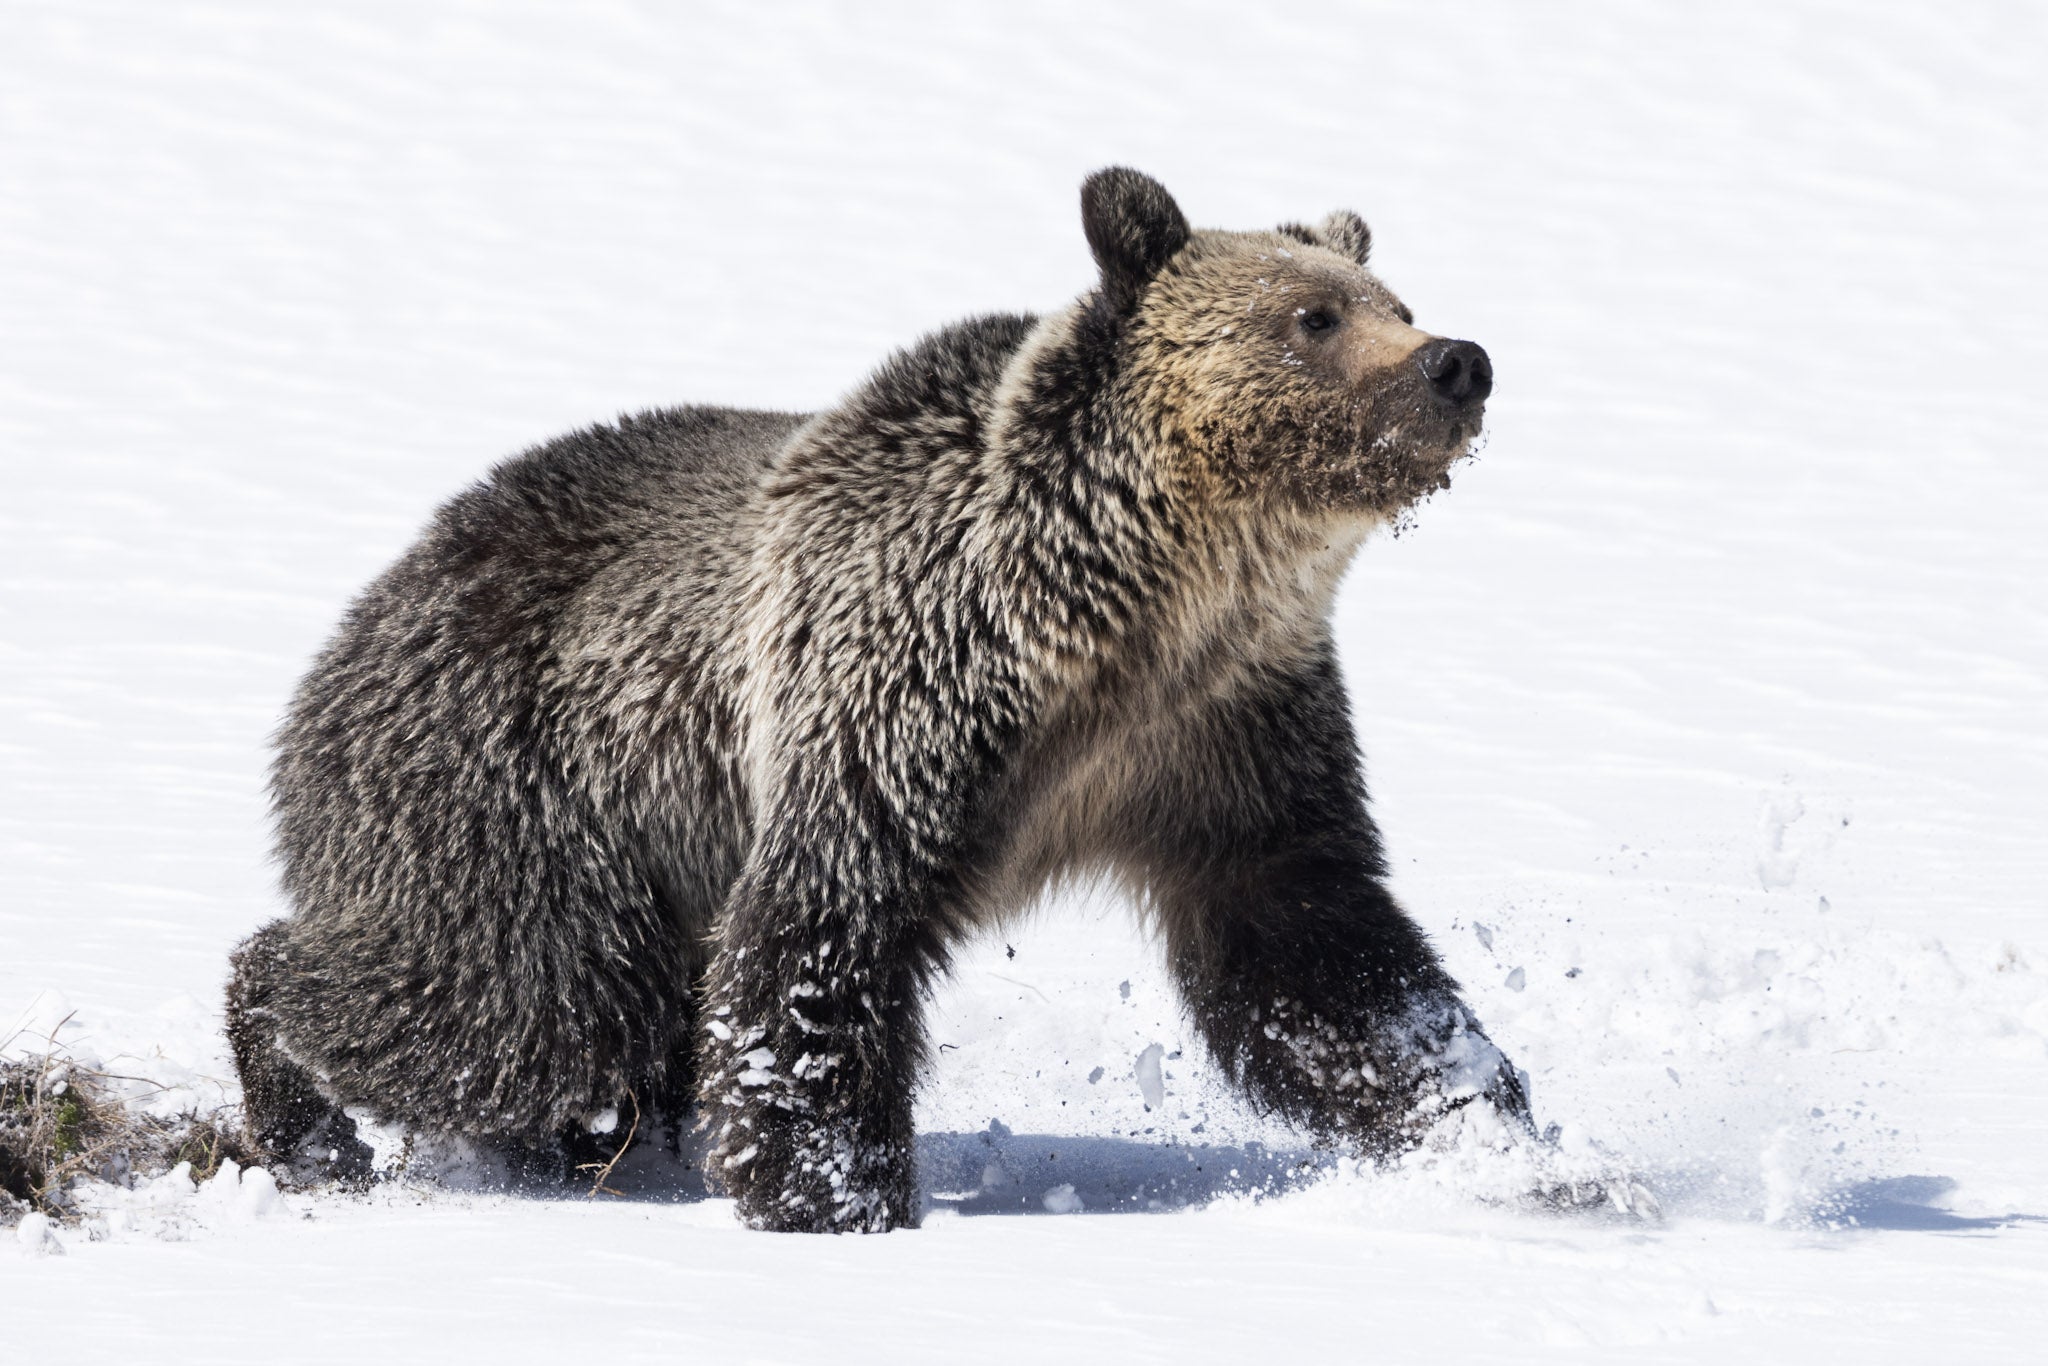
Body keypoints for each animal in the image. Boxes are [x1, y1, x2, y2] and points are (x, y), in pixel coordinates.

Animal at [224, 165, 1540, 1236]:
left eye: (1394, 301)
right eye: (1312, 315)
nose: (1455, 361)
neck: (1127, 612)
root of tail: (361, 614)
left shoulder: (1223, 730)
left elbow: (1316, 954)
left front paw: (1489, 1130)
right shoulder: (901, 690)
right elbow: (818, 944)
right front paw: (836, 1197)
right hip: (521, 787)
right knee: (521, 1011)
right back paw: (302, 1100)